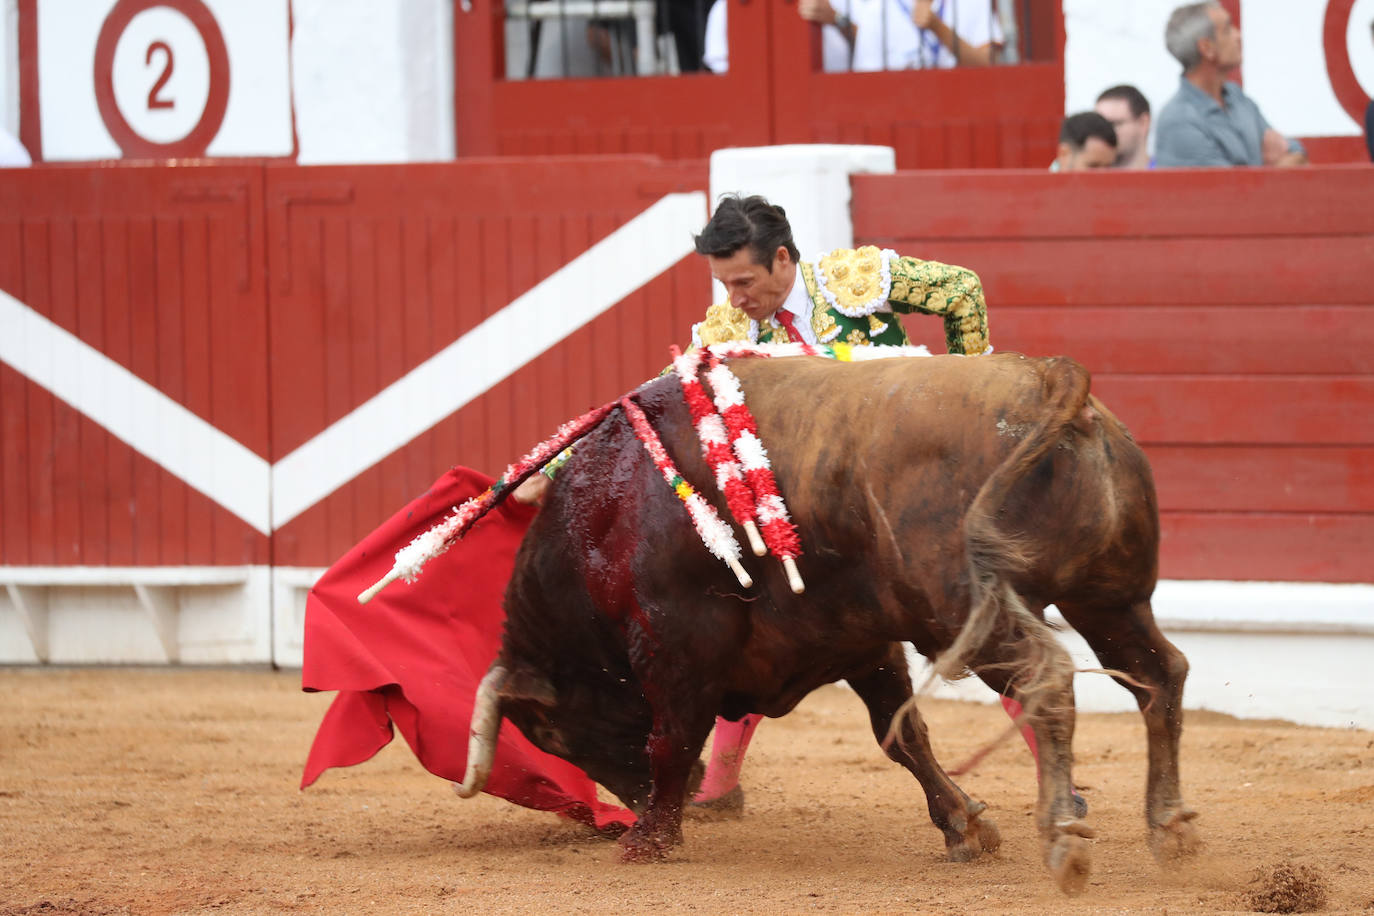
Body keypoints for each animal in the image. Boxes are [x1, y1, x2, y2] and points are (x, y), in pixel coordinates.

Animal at [447, 354, 1192, 895]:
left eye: (549, 732)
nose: (639, 807)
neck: (607, 514)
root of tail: (1048, 382)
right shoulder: (865, 645)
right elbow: (902, 737)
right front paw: (965, 826)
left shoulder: (675, 644)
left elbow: (671, 738)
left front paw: (650, 839)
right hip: (1111, 599)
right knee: (1160, 673)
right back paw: (1169, 826)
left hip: (972, 617)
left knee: (1050, 680)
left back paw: (1066, 838)